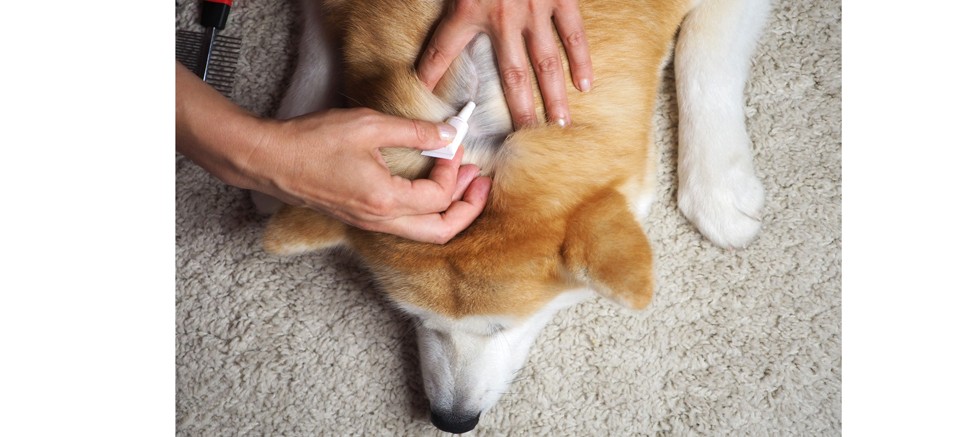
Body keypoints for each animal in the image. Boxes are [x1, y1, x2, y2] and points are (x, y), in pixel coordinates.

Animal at [258, 0, 772, 430]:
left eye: (501, 327)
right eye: (414, 318)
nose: (452, 421)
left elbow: (703, 56)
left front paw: (719, 188)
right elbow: (316, 46)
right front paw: (299, 145)